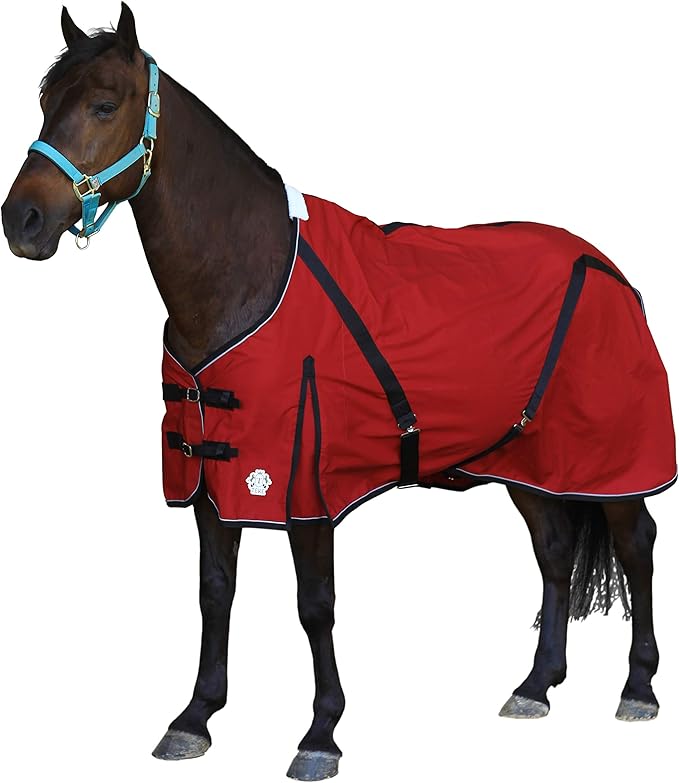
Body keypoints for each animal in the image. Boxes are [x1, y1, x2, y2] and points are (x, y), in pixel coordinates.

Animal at [2, 5, 675, 780]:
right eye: (44, 104)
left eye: (105, 105)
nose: (20, 221)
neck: (247, 276)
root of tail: (608, 269)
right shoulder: (210, 477)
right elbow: (214, 593)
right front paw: (194, 717)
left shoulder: (304, 482)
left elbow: (314, 605)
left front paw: (320, 733)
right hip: (524, 460)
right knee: (555, 549)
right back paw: (535, 685)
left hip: (610, 458)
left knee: (636, 544)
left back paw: (637, 688)